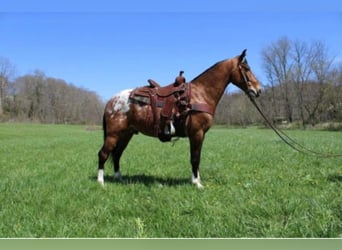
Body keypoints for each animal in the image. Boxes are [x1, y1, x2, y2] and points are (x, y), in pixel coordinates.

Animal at [97, 49, 262, 188]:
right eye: (246, 68)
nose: (258, 90)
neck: (200, 94)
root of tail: (111, 101)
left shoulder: (199, 135)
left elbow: (196, 157)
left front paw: (196, 180)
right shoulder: (197, 133)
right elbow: (195, 158)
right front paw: (197, 184)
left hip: (126, 134)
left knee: (117, 154)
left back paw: (119, 178)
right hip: (113, 134)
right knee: (103, 154)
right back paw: (101, 182)